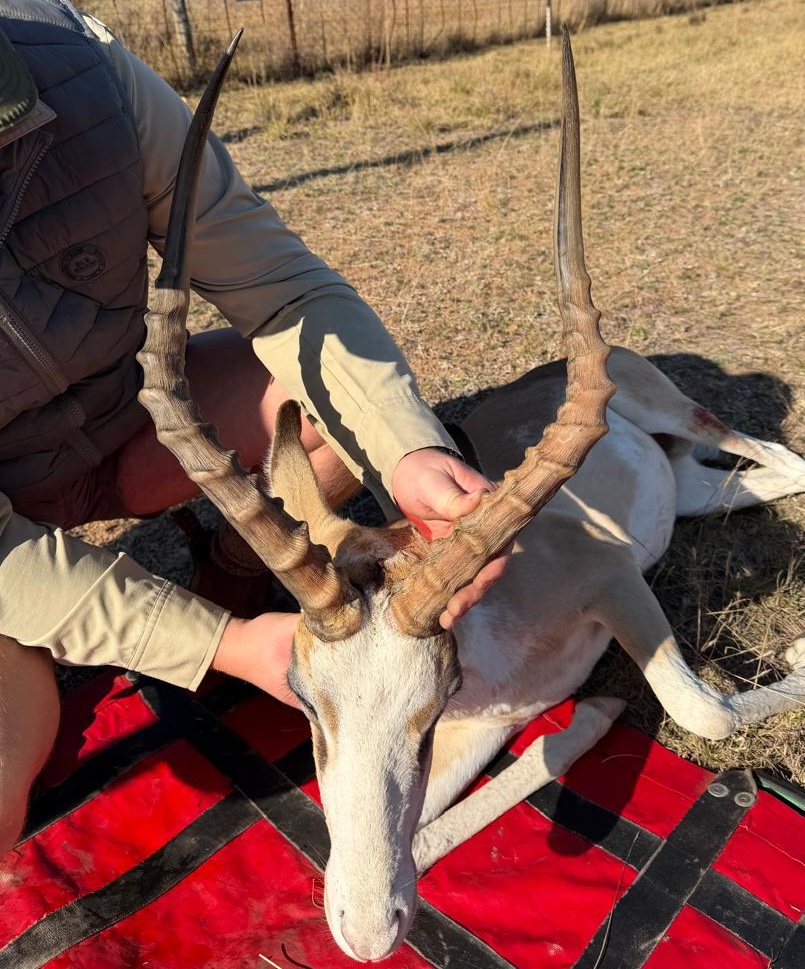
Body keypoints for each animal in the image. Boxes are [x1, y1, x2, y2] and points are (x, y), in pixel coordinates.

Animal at [137, 29, 805, 963]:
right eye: (303, 699)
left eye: (431, 697)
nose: (366, 934)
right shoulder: (485, 727)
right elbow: (418, 842)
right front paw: (590, 718)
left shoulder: (611, 579)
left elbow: (697, 711)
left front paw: (785, 656)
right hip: (690, 490)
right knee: (762, 475)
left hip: (675, 412)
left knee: (778, 453)